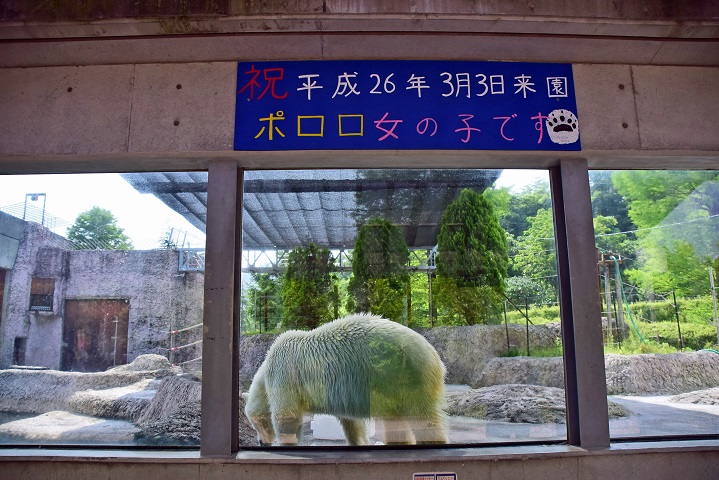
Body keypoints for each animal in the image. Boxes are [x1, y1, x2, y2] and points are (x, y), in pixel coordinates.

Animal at [245, 316, 448, 446]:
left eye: (257, 422)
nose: (261, 443)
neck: (265, 369)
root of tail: (435, 356)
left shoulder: (284, 373)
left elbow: (286, 415)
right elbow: (352, 424)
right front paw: (359, 442)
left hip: (407, 375)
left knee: (423, 418)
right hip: (394, 385)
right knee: (395, 419)